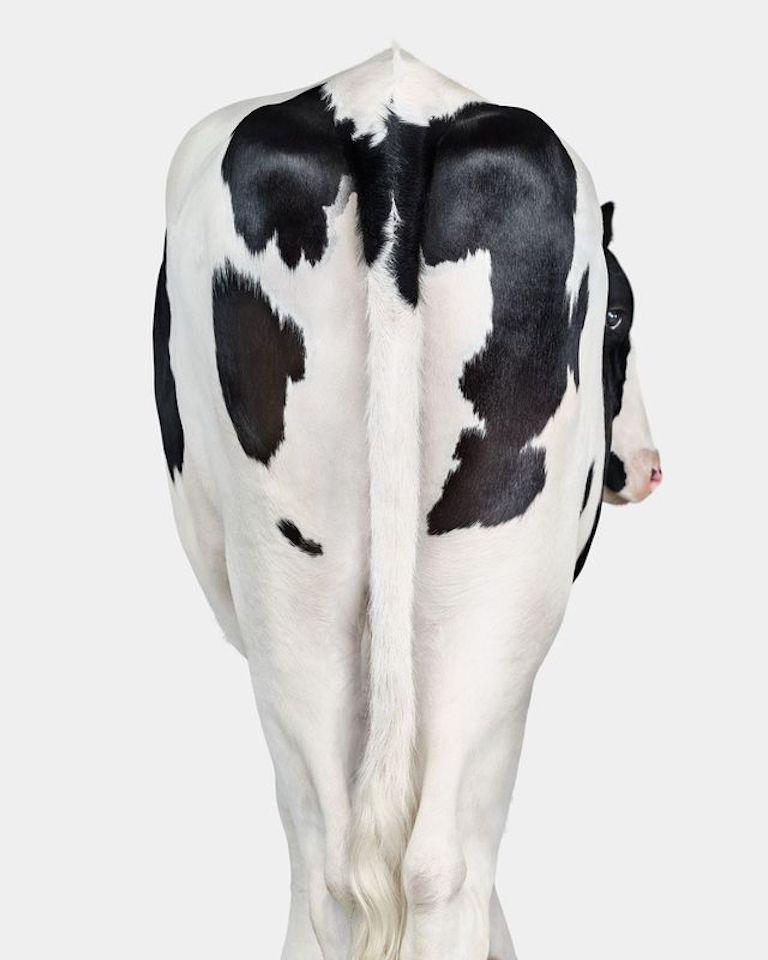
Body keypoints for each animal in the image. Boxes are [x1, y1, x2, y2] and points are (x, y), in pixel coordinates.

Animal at [153, 47, 661, 960]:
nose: (647, 466)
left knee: (333, 856)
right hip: (505, 584)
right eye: (620, 318)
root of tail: (389, 122)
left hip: (295, 578)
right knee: (442, 857)